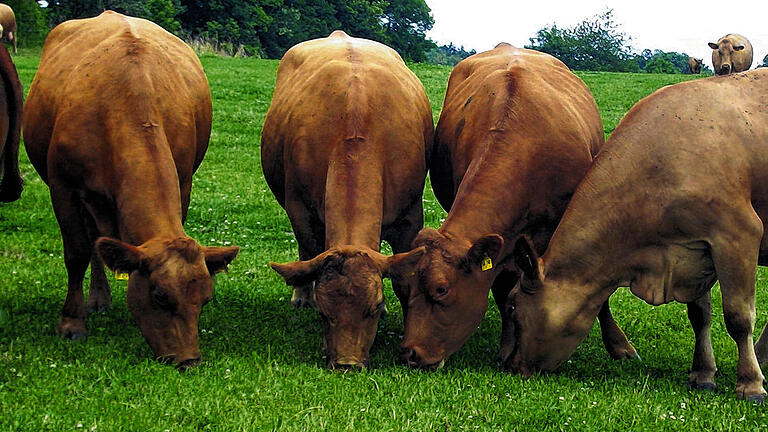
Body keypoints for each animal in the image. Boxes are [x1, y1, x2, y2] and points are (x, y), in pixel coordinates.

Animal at [22, 10, 238, 368]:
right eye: (159, 296)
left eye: (205, 299)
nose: (189, 360)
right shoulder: (63, 187)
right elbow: (76, 253)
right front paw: (71, 323)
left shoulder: (183, 181)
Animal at [262, 30, 432, 370]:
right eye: (324, 313)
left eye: (375, 307)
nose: (347, 364)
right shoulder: (300, 209)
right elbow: (308, 252)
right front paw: (307, 297)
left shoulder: (409, 217)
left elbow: (404, 278)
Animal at [390, 42, 636, 370]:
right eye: (408, 287)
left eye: (441, 289)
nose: (409, 354)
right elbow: (503, 289)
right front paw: (507, 347)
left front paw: (619, 345)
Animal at [504, 67, 768, 402]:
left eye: (513, 306)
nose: (509, 366)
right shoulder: (693, 250)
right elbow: (699, 316)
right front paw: (703, 374)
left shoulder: (737, 234)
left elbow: (738, 317)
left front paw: (750, 384)